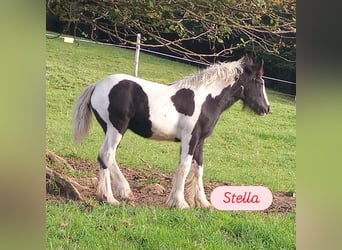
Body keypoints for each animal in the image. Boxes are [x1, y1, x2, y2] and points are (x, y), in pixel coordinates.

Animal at [72, 55, 270, 209]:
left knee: (105, 157)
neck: (206, 99)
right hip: (117, 127)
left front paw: (203, 203)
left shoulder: (200, 140)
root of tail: (97, 85)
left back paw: (110, 195)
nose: (266, 109)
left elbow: (199, 168)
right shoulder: (190, 138)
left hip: (110, 129)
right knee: (107, 154)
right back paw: (118, 194)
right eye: (259, 82)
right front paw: (180, 202)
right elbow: (184, 167)